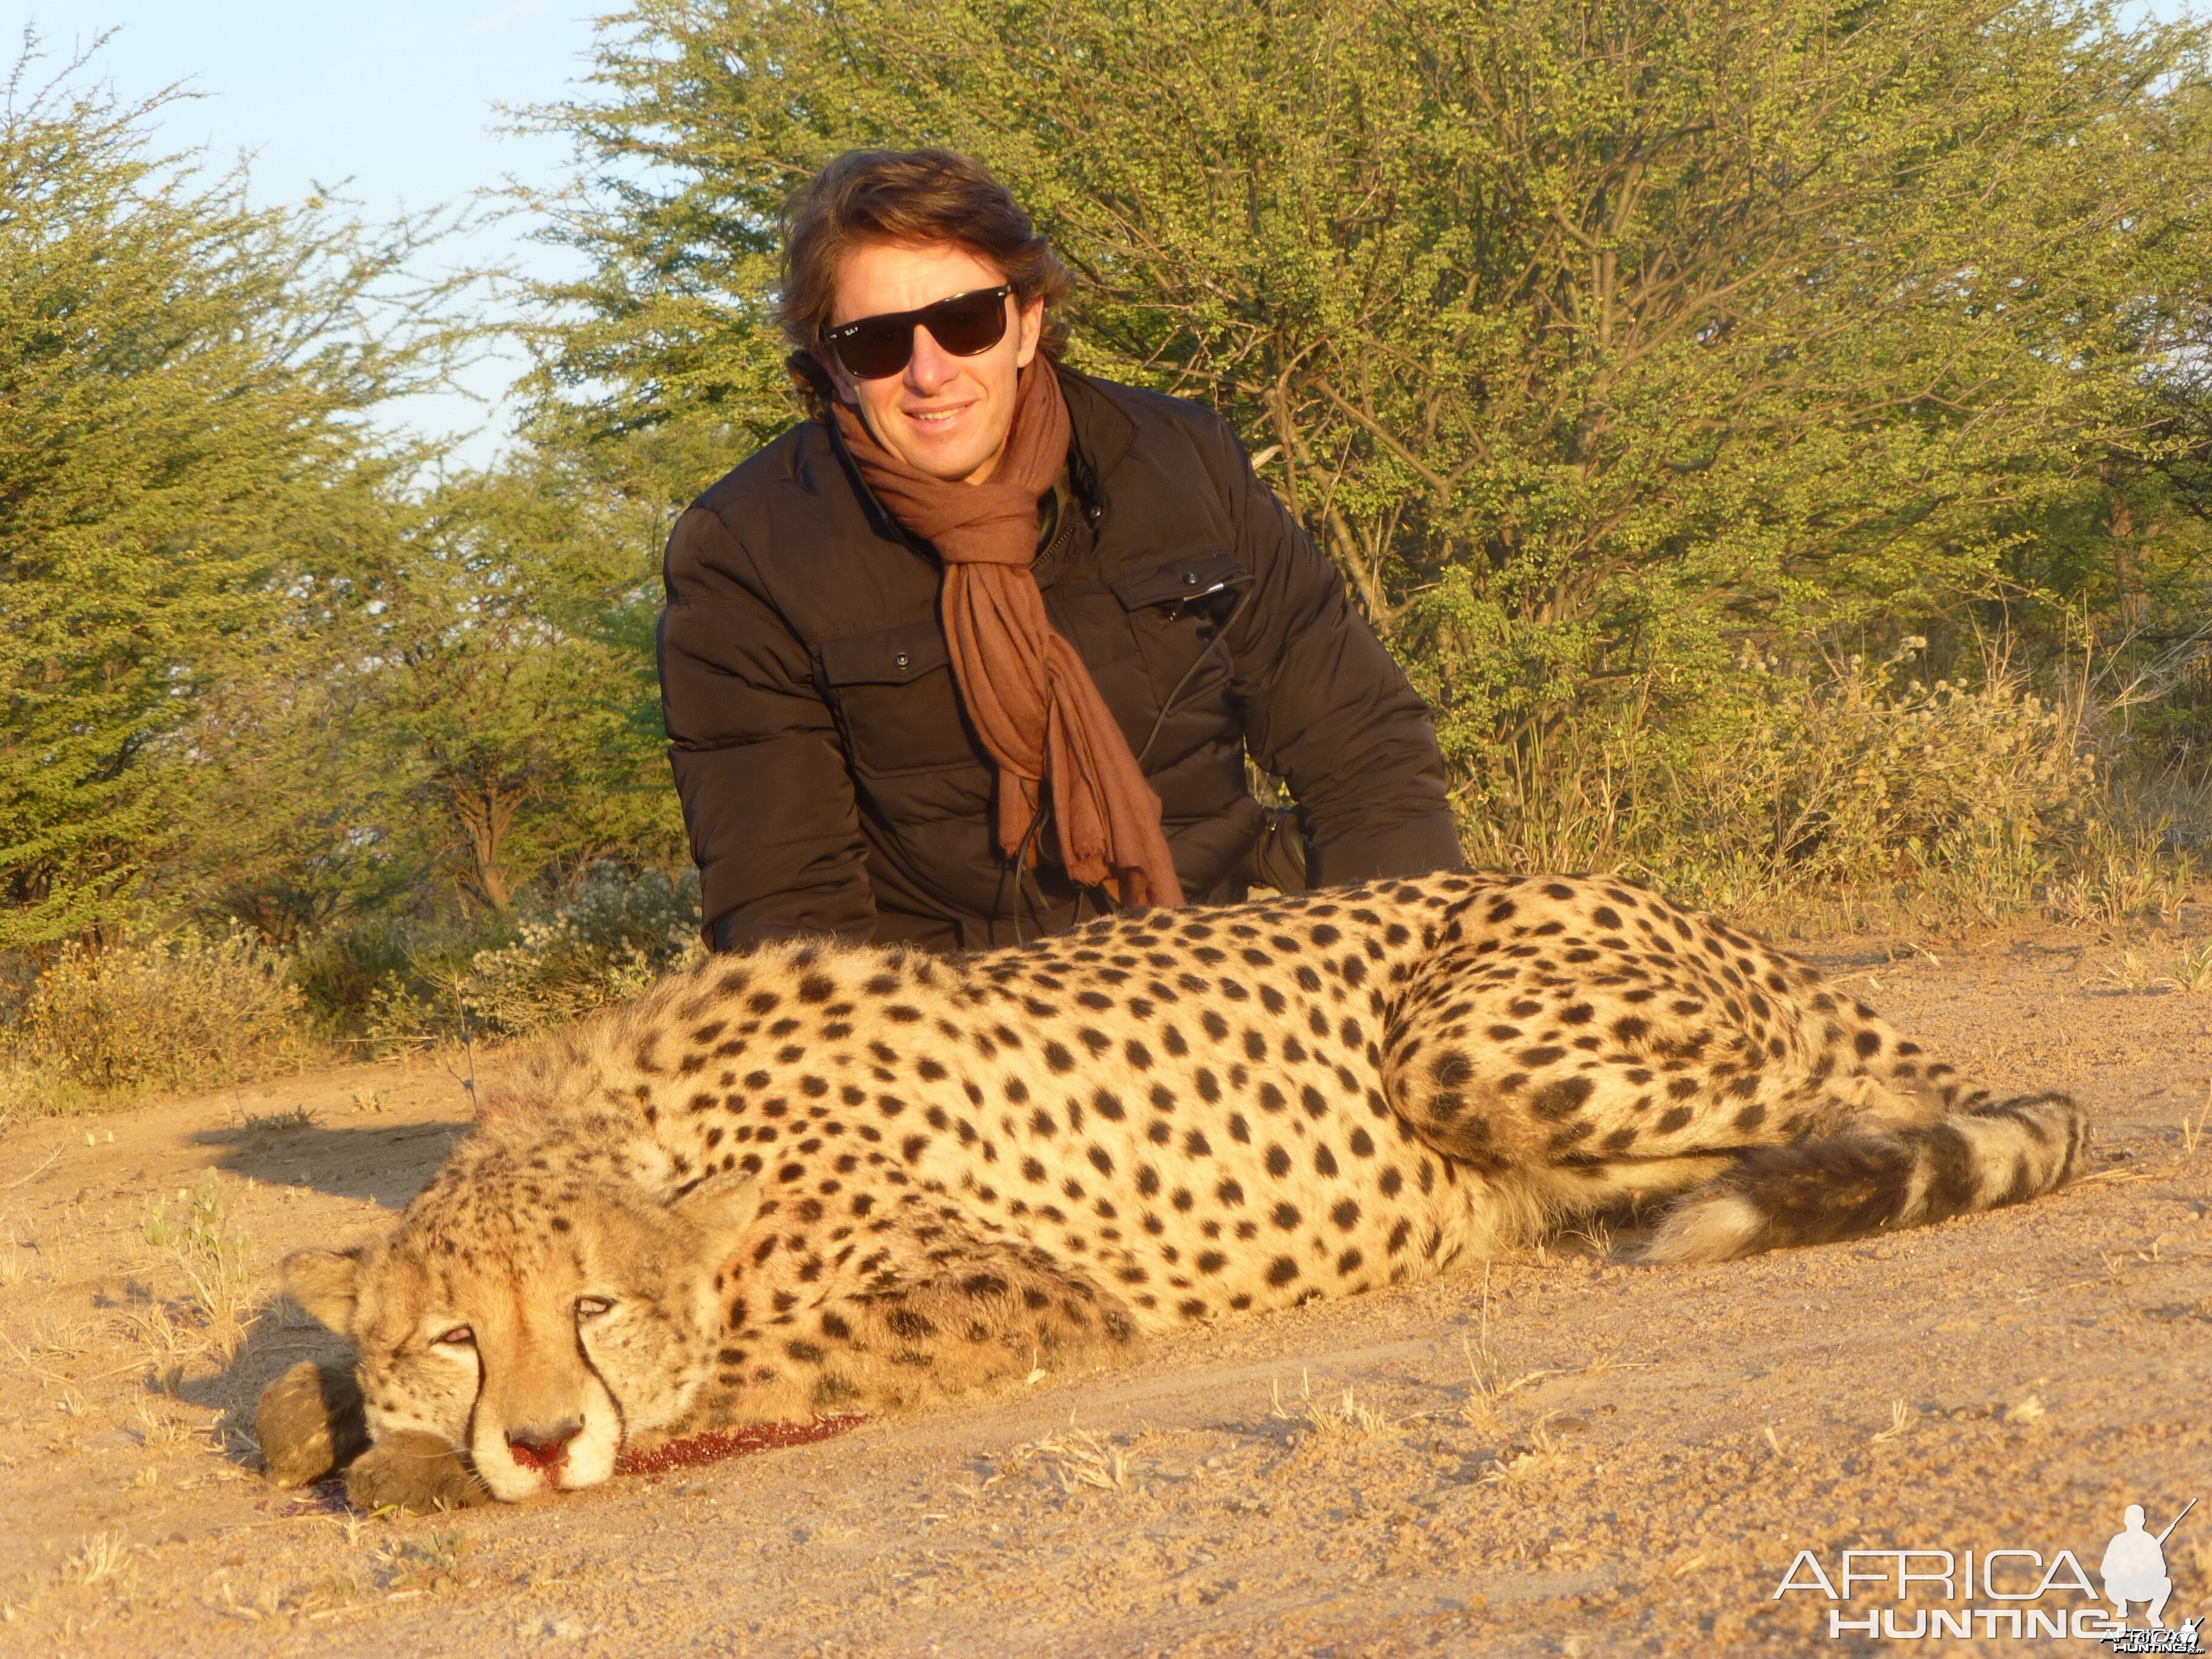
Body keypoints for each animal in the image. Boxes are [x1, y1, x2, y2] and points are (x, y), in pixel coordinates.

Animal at [267, 876, 2079, 1513]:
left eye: (593, 1305)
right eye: (452, 1332)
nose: (538, 1436)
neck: (654, 1119)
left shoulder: (1019, 1289)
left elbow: (767, 1362)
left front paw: (416, 1457)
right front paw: (321, 1405)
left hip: (1465, 1040)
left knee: (1889, 1105)